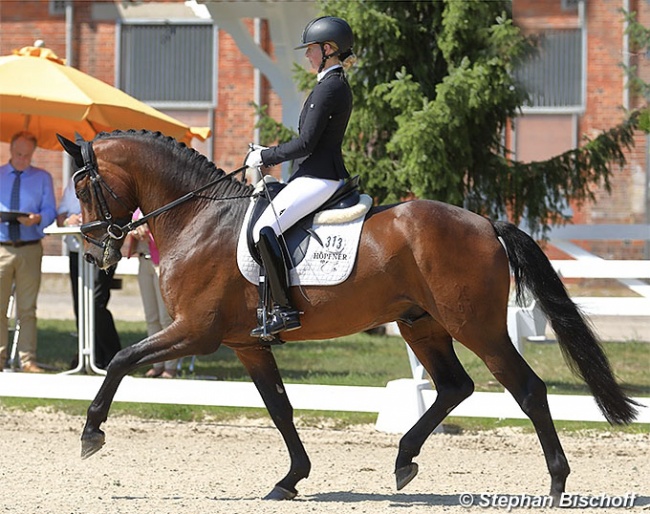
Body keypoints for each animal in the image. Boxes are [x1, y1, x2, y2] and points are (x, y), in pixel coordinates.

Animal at [58, 129, 636, 500]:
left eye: (83, 186)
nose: (91, 252)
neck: (198, 218)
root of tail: (487, 222)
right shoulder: (247, 343)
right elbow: (280, 409)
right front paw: (291, 479)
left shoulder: (195, 333)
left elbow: (121, 361)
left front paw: (91, 434)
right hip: (420, 323)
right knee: (454, 386)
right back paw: (404, 460)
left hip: (478, 327)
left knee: (528, 389)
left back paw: (557, 482)